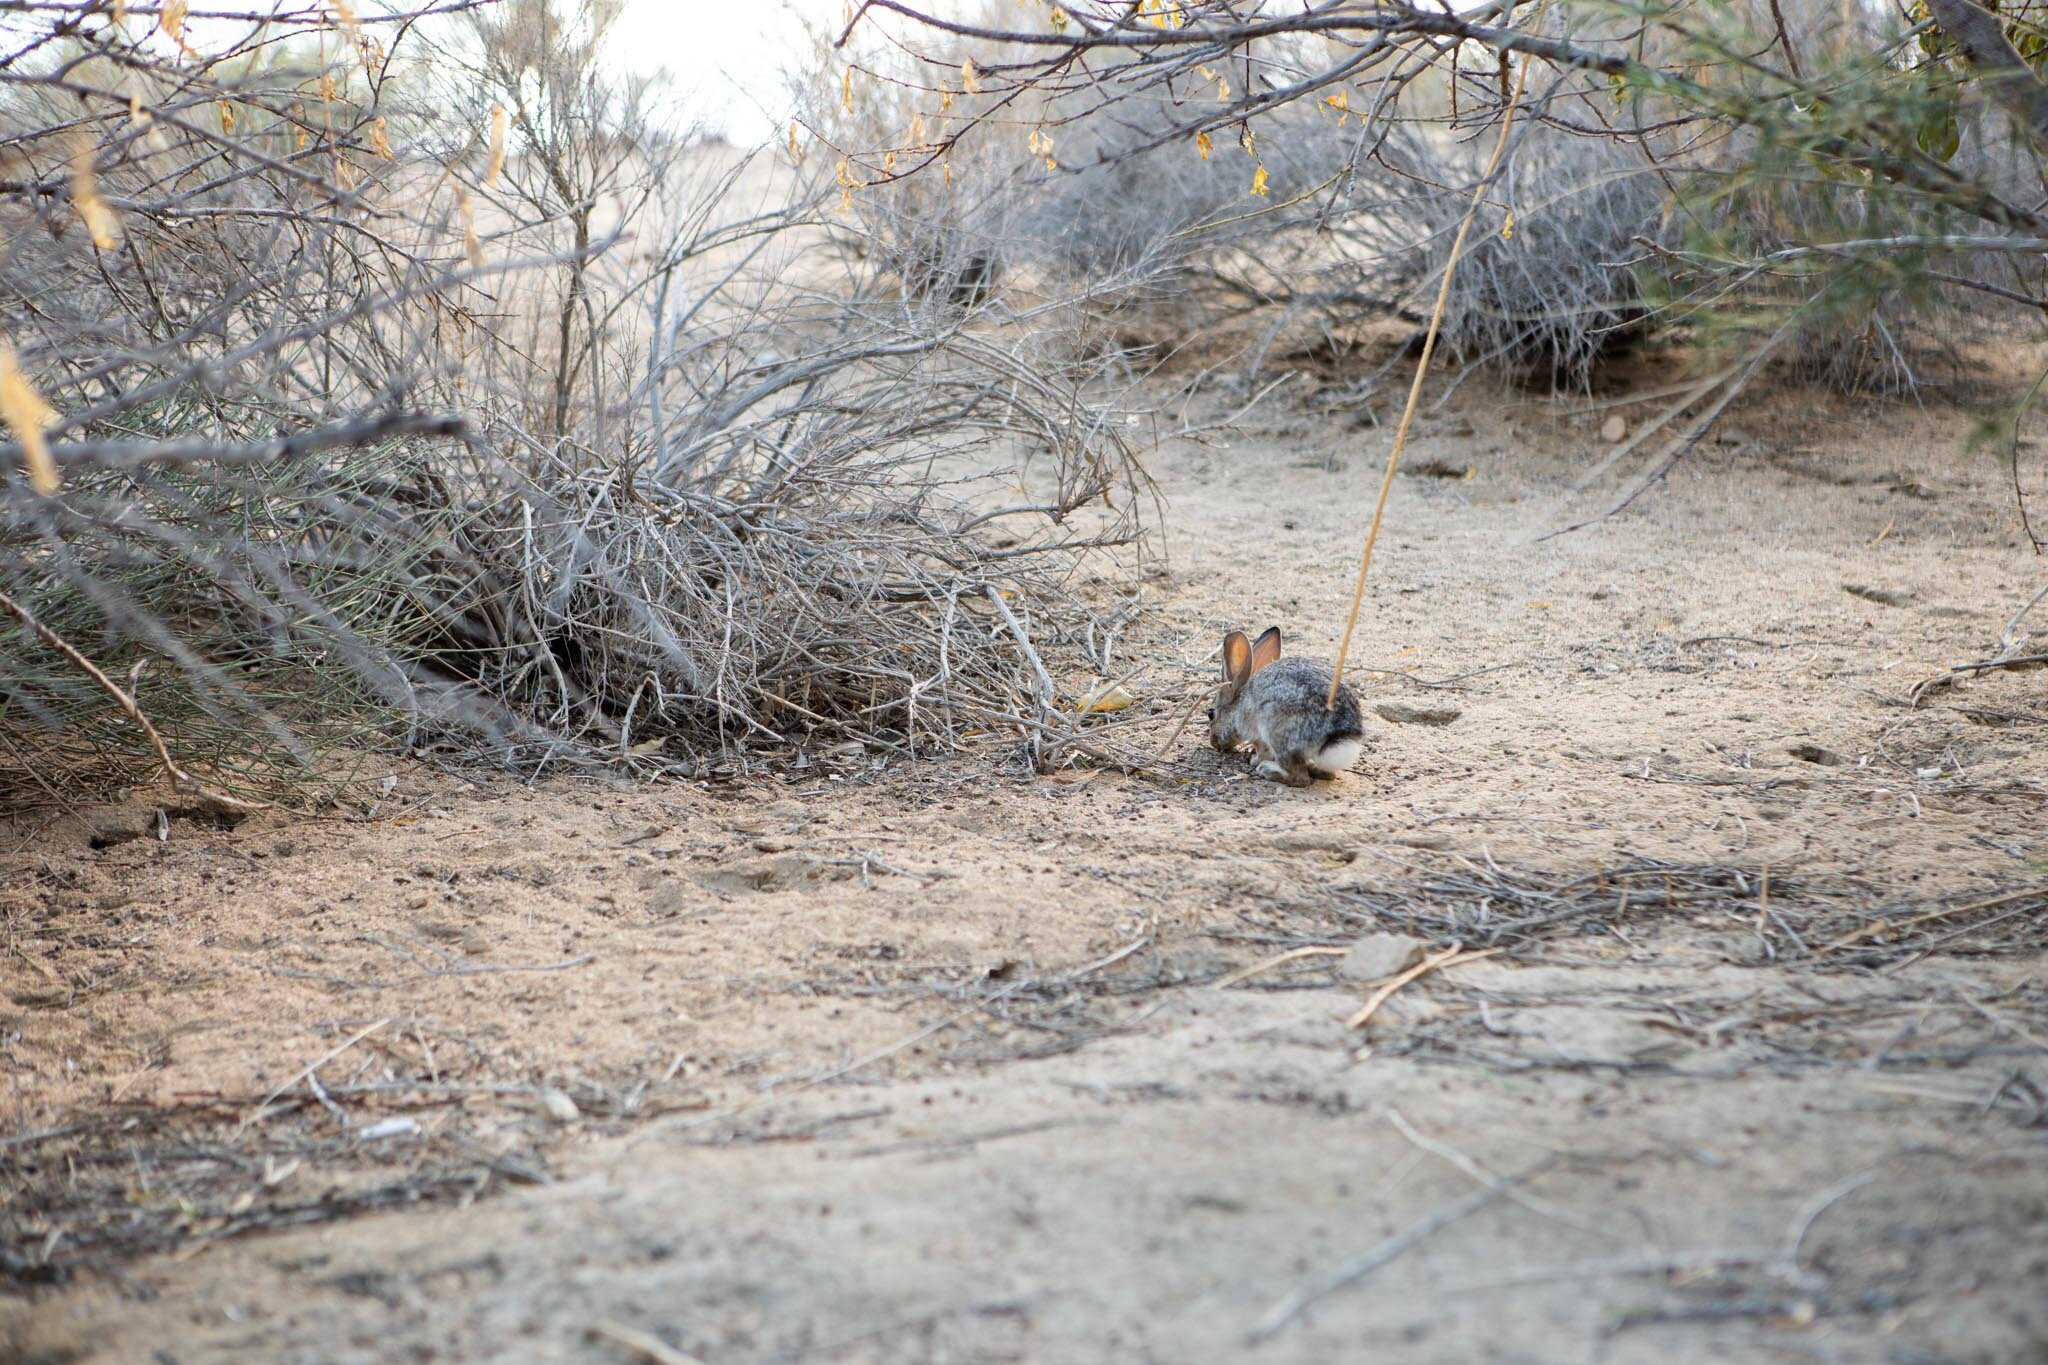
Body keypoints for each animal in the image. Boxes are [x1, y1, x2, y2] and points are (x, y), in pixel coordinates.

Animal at [1204, 626, 1368, 785]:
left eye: (1211, 714)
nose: (1213, 743)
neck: (1238, 706)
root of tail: (1339, 736)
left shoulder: (1257, 735)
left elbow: (1262, 750)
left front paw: (1255, 760)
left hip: (1278, 733)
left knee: (1300, 778)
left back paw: (1267, 770)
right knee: (1326, 774)